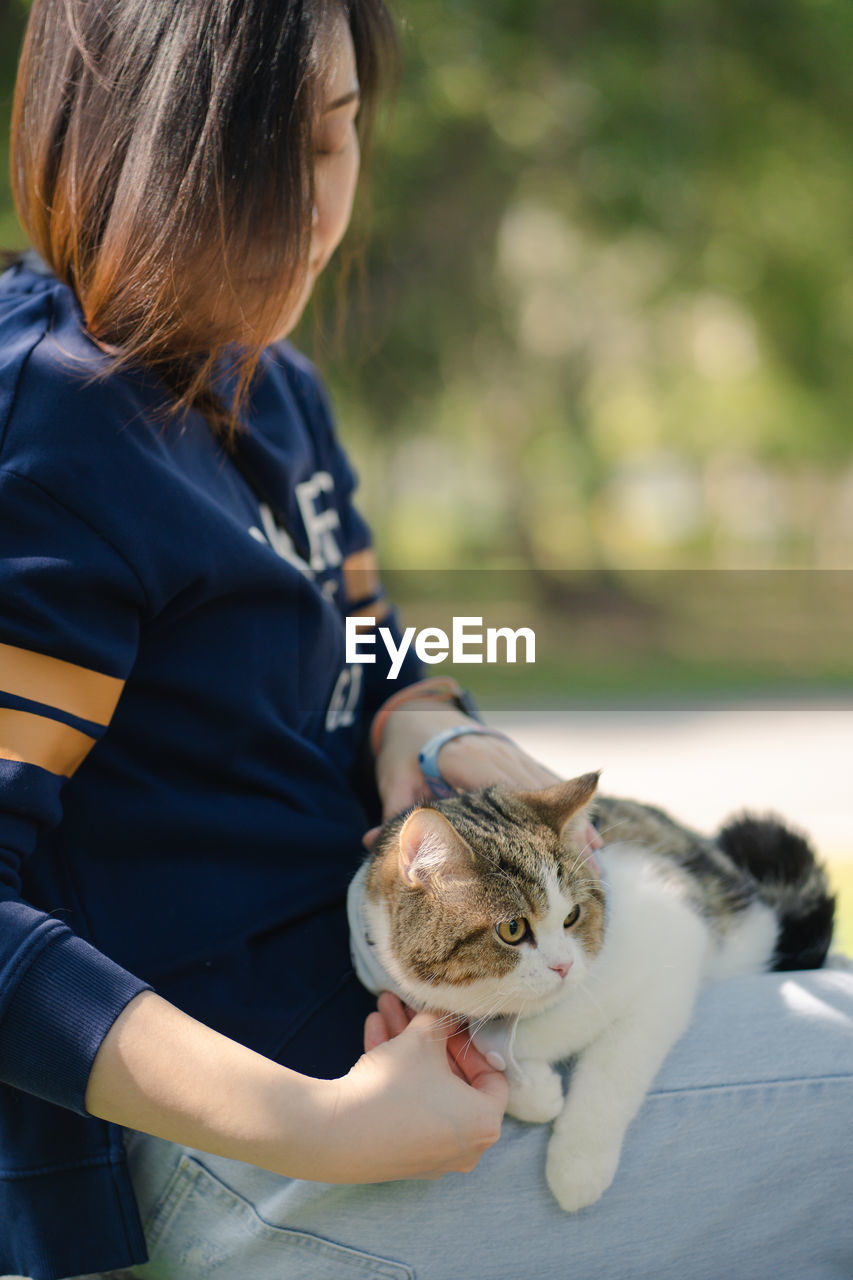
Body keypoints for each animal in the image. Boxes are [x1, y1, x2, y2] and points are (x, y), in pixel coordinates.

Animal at [348, 768, 835, 1208]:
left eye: (572, 916)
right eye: (512, 929)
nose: (564, 966)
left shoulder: (672, 947)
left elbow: (614, 1068)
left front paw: (577, 1166)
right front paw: (534, 1091)